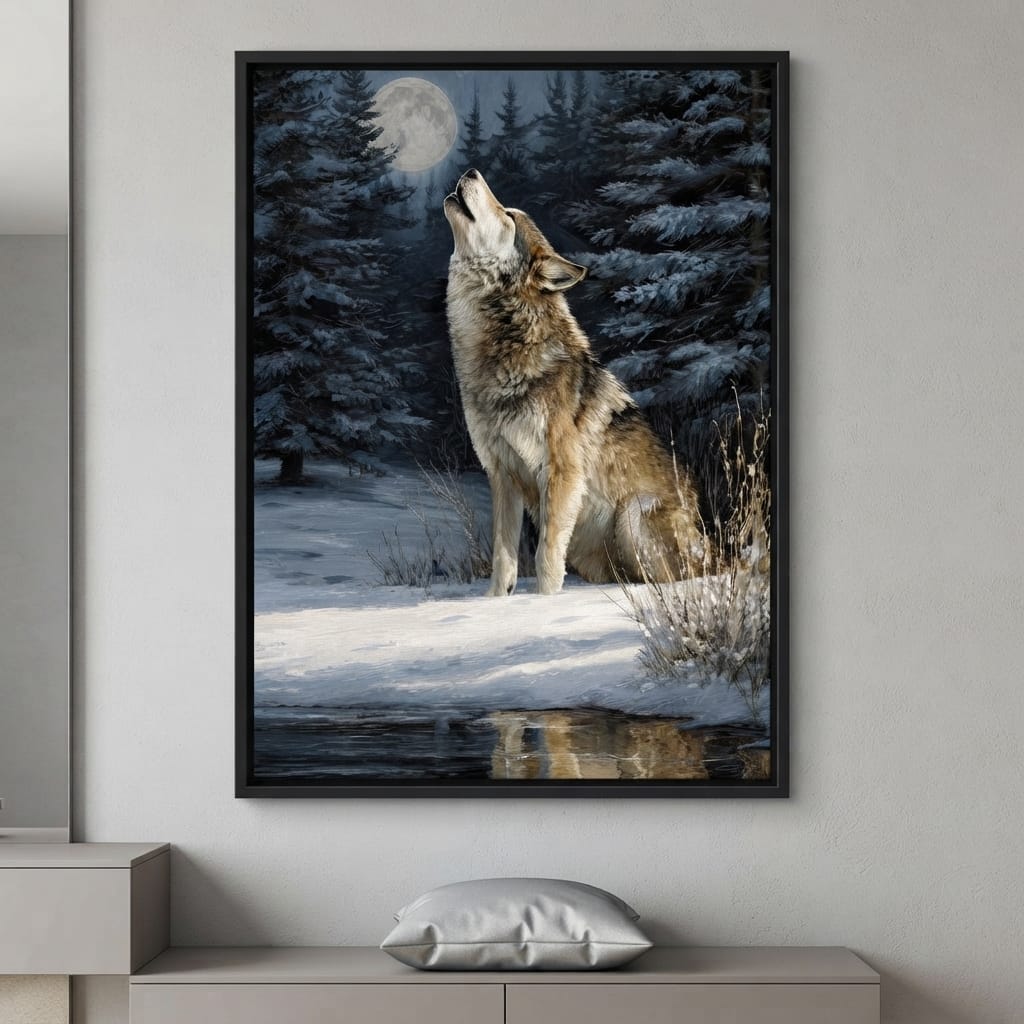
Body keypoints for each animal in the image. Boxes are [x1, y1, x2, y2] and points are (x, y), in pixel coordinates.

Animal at [443, 169, 706, 596]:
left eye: (508, 215)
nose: (470, 172)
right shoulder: (502, 476)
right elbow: (504, 560)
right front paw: (496, 605)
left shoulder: (562, 474)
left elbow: (546, 557)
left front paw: (543, 605)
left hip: (632, 512)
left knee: (670, 582)